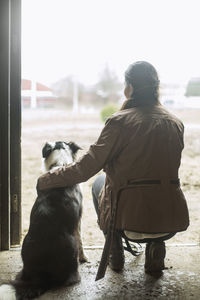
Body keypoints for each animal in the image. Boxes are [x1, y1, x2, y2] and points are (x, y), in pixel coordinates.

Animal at [0, 141, 86, 300]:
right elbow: (81, 240)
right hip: (71, 246)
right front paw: (84, 258)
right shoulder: (78, 219)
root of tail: (40, 277)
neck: (60, 163)